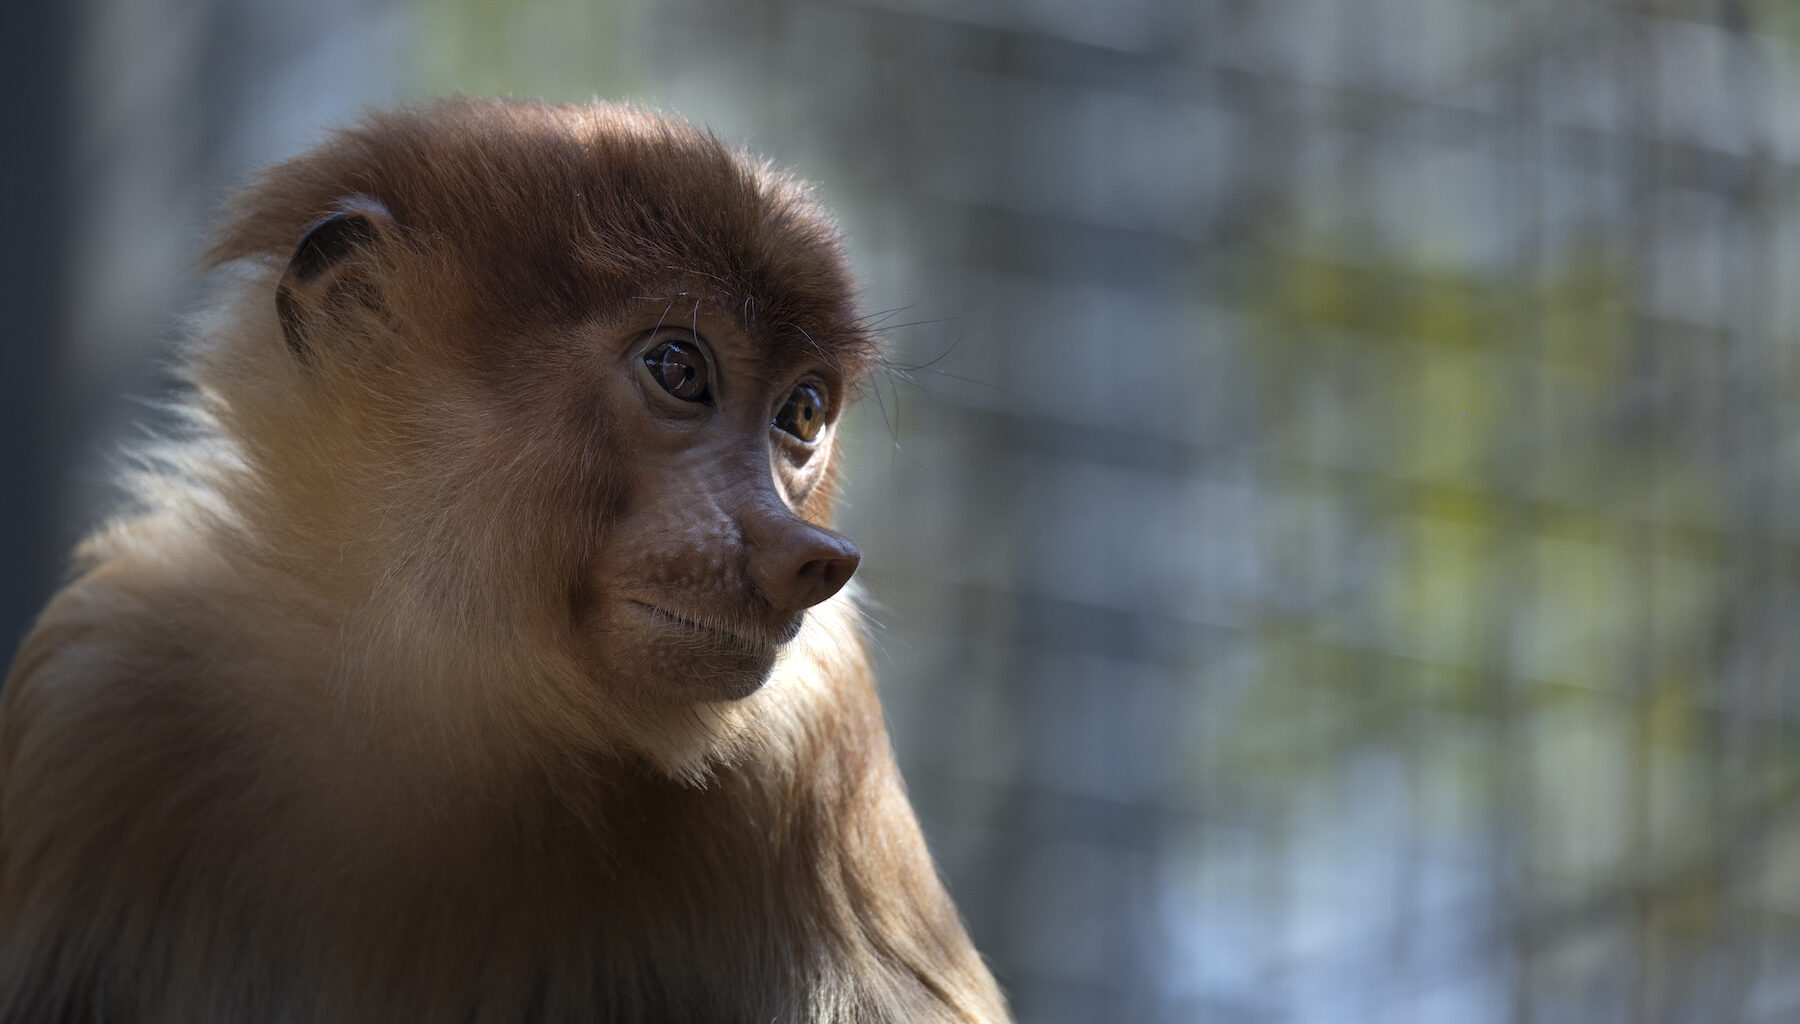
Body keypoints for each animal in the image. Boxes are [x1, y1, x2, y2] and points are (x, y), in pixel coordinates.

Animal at [0, 98, 1009, 1023]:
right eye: (679, 369)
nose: (809, 555)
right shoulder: (99, 689)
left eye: (799, 412)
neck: (440, 708)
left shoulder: (817, 730)